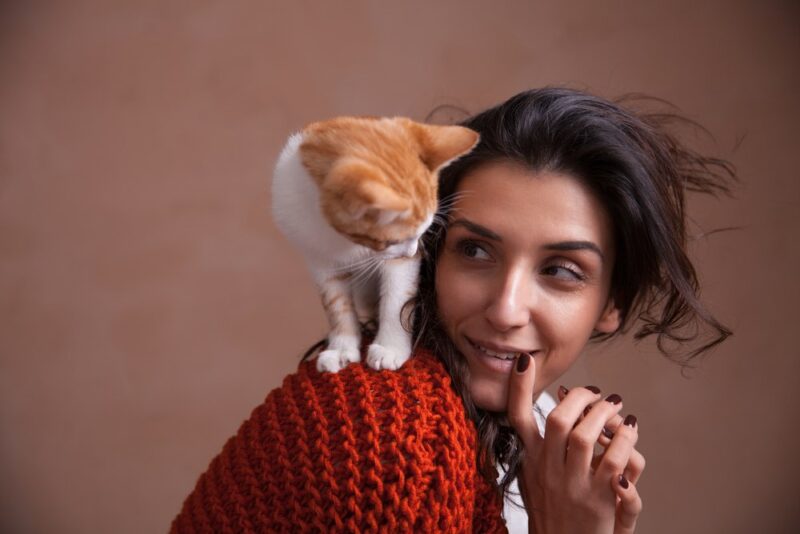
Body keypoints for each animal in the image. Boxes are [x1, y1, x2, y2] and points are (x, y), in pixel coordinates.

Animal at [272, 116, 478, 372]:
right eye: (390, 241)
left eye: (424, 232)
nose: (413, 250)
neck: (338, 238)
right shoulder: (317, 257)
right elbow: (336, 303)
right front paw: (341, 348)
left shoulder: (399, 263)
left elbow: (396, 298)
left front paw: (390, 348)